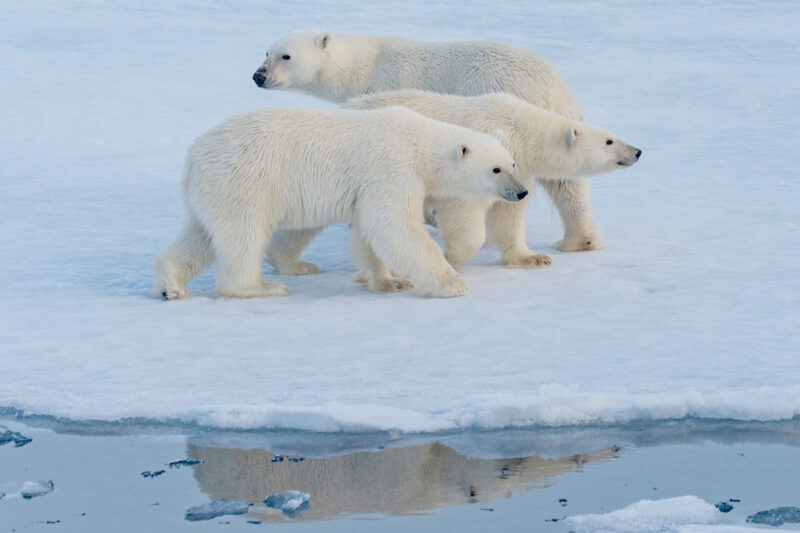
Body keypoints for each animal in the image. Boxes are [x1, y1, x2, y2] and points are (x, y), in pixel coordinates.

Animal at [153, 106, 526, 299]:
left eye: (513, 163)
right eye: (496, 169)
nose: (521, 192)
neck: (419, 142)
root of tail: (194, 156)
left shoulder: (369, 186)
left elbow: (368, 232)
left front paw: (388, 281)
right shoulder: (390, 168)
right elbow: (394, 226)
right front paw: (452, 283)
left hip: (212, 192)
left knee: (200, 236)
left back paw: (172, 285)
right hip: (245, 182)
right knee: (243, 236)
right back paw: (262, 287)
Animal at [252, 31, 600, 252]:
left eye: (286, 55)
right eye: (266, 52)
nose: (258, 76)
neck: (366, 66)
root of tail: (550, 90)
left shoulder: (387, 88)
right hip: (564, 116)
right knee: (567, 180)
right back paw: (578, 240)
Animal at [341, 90, 641, 271]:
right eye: (609, 141)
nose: (637, 151)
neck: (520, 132)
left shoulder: (517, 170)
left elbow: (509, 214)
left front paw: (533, 257)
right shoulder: (478, 163)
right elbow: (465, 211)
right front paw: (452, 259)